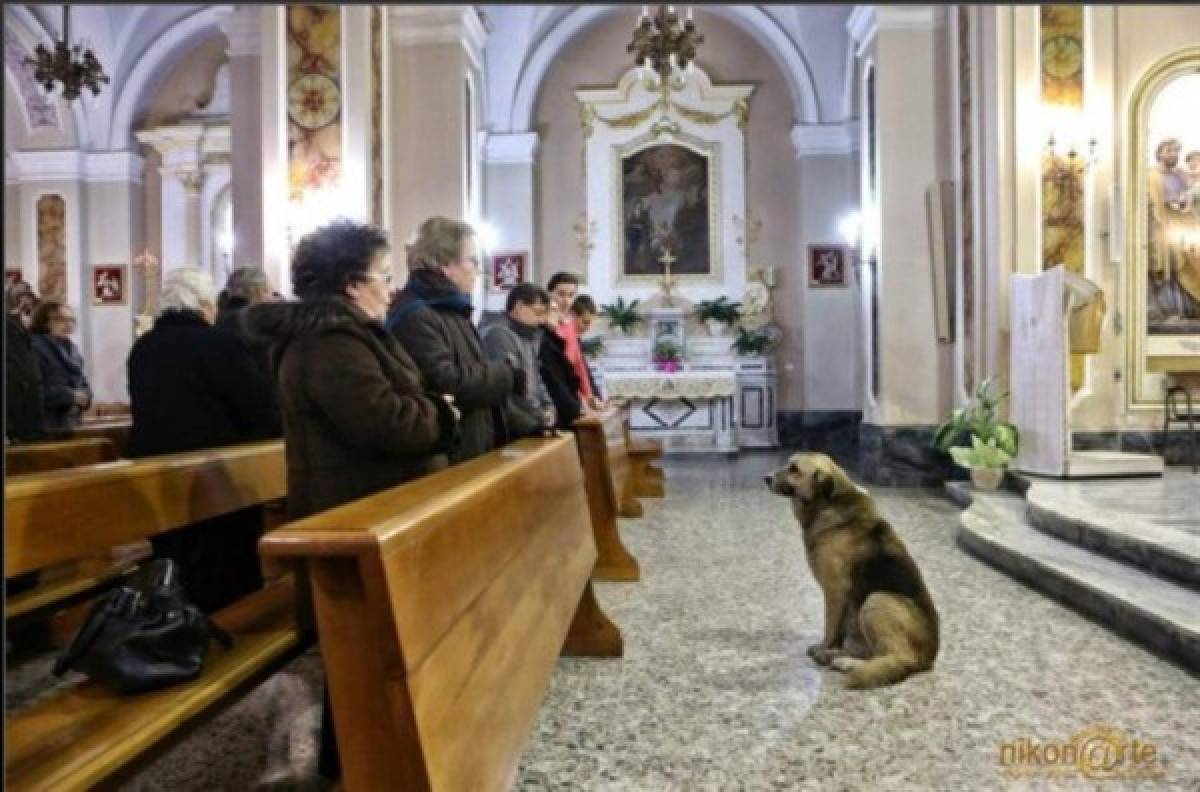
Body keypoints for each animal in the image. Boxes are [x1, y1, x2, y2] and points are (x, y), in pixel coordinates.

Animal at [768, 451, 936, 686]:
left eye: (795, 469)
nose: (766, 478)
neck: (828, 503)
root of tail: (929, 658)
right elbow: (837, 632)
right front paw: (830, 650)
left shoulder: (835, 591)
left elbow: (830, 628)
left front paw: (824, 647)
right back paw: (841, 658)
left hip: (877, 599)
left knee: (896, 658)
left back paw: (844, 661)